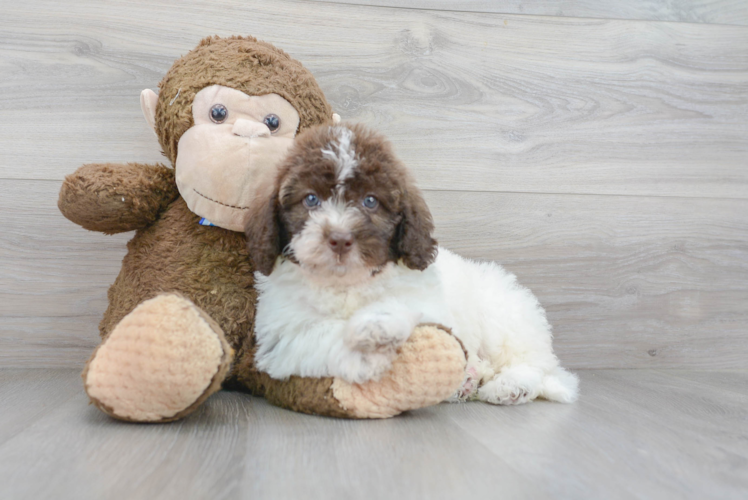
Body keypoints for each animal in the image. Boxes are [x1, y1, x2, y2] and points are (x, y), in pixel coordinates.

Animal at [245, 123, 580, 404]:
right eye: (311, 199)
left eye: (370, 201)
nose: (340, 239)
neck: (346, 282)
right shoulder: (281, 335)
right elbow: (318, 334)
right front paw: (364, 356)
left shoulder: (428, 303)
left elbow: (404, 307)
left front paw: (377, 325)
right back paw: (468, 381)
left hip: (504, 317)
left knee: (536, 364)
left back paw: (511, 385)